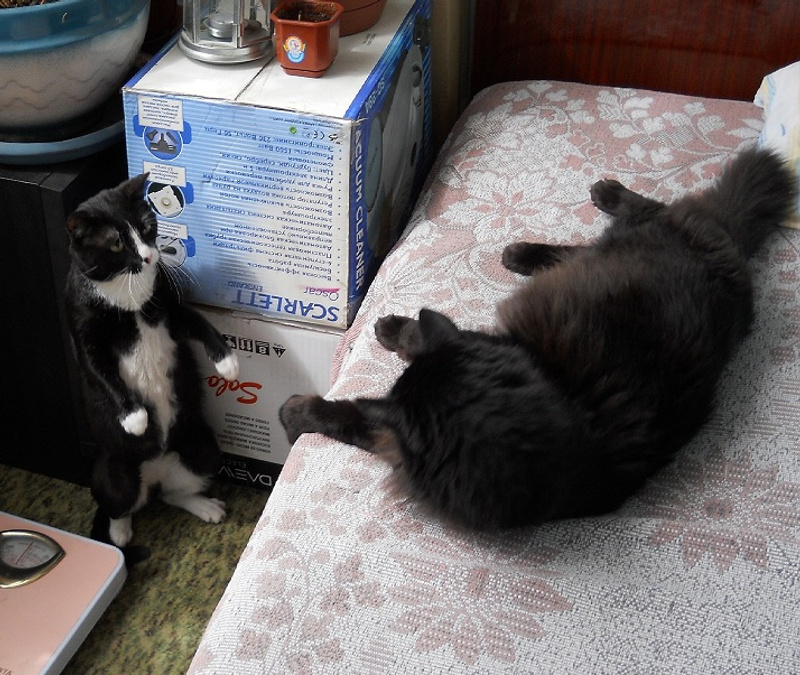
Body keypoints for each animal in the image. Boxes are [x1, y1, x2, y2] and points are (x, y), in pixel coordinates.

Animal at [64, 173, 239, 556]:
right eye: (116, 244)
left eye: (147, 227)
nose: (147, 257)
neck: (127, 292)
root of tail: (155, 472)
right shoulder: (84, 333)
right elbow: (101, 373)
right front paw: (135, 417)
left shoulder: (170, 307)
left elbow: (201, 323)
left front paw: (228, 362)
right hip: (111, 473)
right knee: (117, 504)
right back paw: (119, 536)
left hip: (204, 447)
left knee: (173, 495)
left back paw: (205, 505)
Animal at [280, 147, 797, 531]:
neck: (569, 415)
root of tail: (729, 243)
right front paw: (391, 330)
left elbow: (351, 414)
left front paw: (301, 408)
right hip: (618, 246)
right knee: (612, 229)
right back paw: (534, 243)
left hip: (631, 239)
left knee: (638, 214)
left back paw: (575, 216)